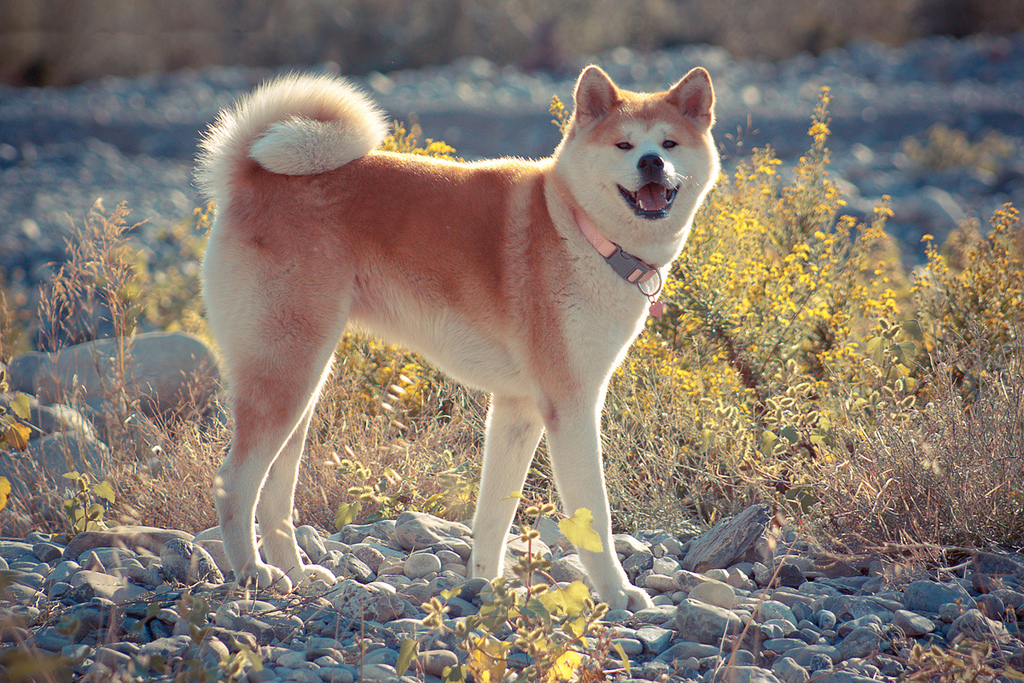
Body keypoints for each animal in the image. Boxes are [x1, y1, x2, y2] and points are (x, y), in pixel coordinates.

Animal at [195, 63, 716, 610]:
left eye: (669, 142)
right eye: (623, 145)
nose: (653, 161)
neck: (579, 230)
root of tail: (249, 176)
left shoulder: (517, 407)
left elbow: (494, 516)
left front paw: (487, 585)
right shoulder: (571, 406)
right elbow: (595, 513)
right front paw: (618, 593)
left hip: (302, 381)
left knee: (275, 493)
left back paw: (299, 574)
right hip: (287, 376)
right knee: (234, 483)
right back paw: (253, 573)